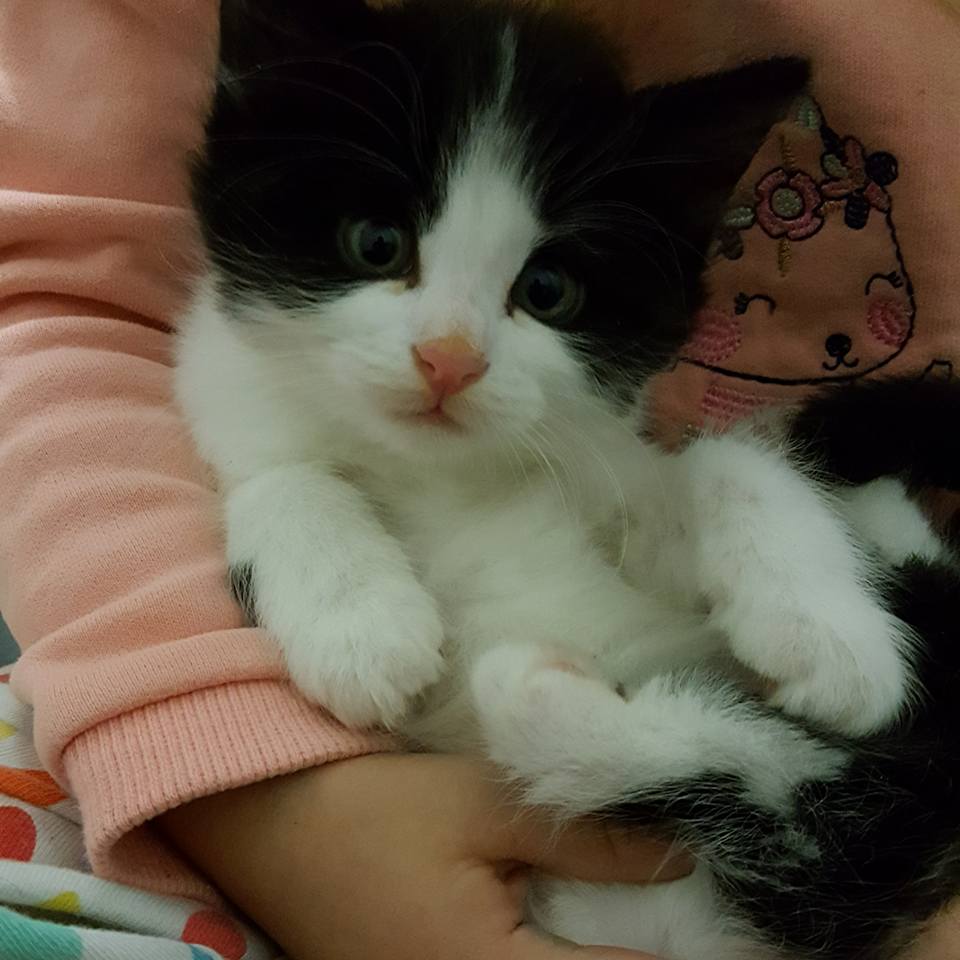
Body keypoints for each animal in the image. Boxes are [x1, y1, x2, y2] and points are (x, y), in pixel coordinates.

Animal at [175, 1, 960, 958]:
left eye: (547, 289)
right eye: (376, 243)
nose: (449, 359)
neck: (448, 477)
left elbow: (726, 462)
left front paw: (830, 633)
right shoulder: (230, 413)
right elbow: (279, 477)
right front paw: (359, 625)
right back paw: (532, 680)